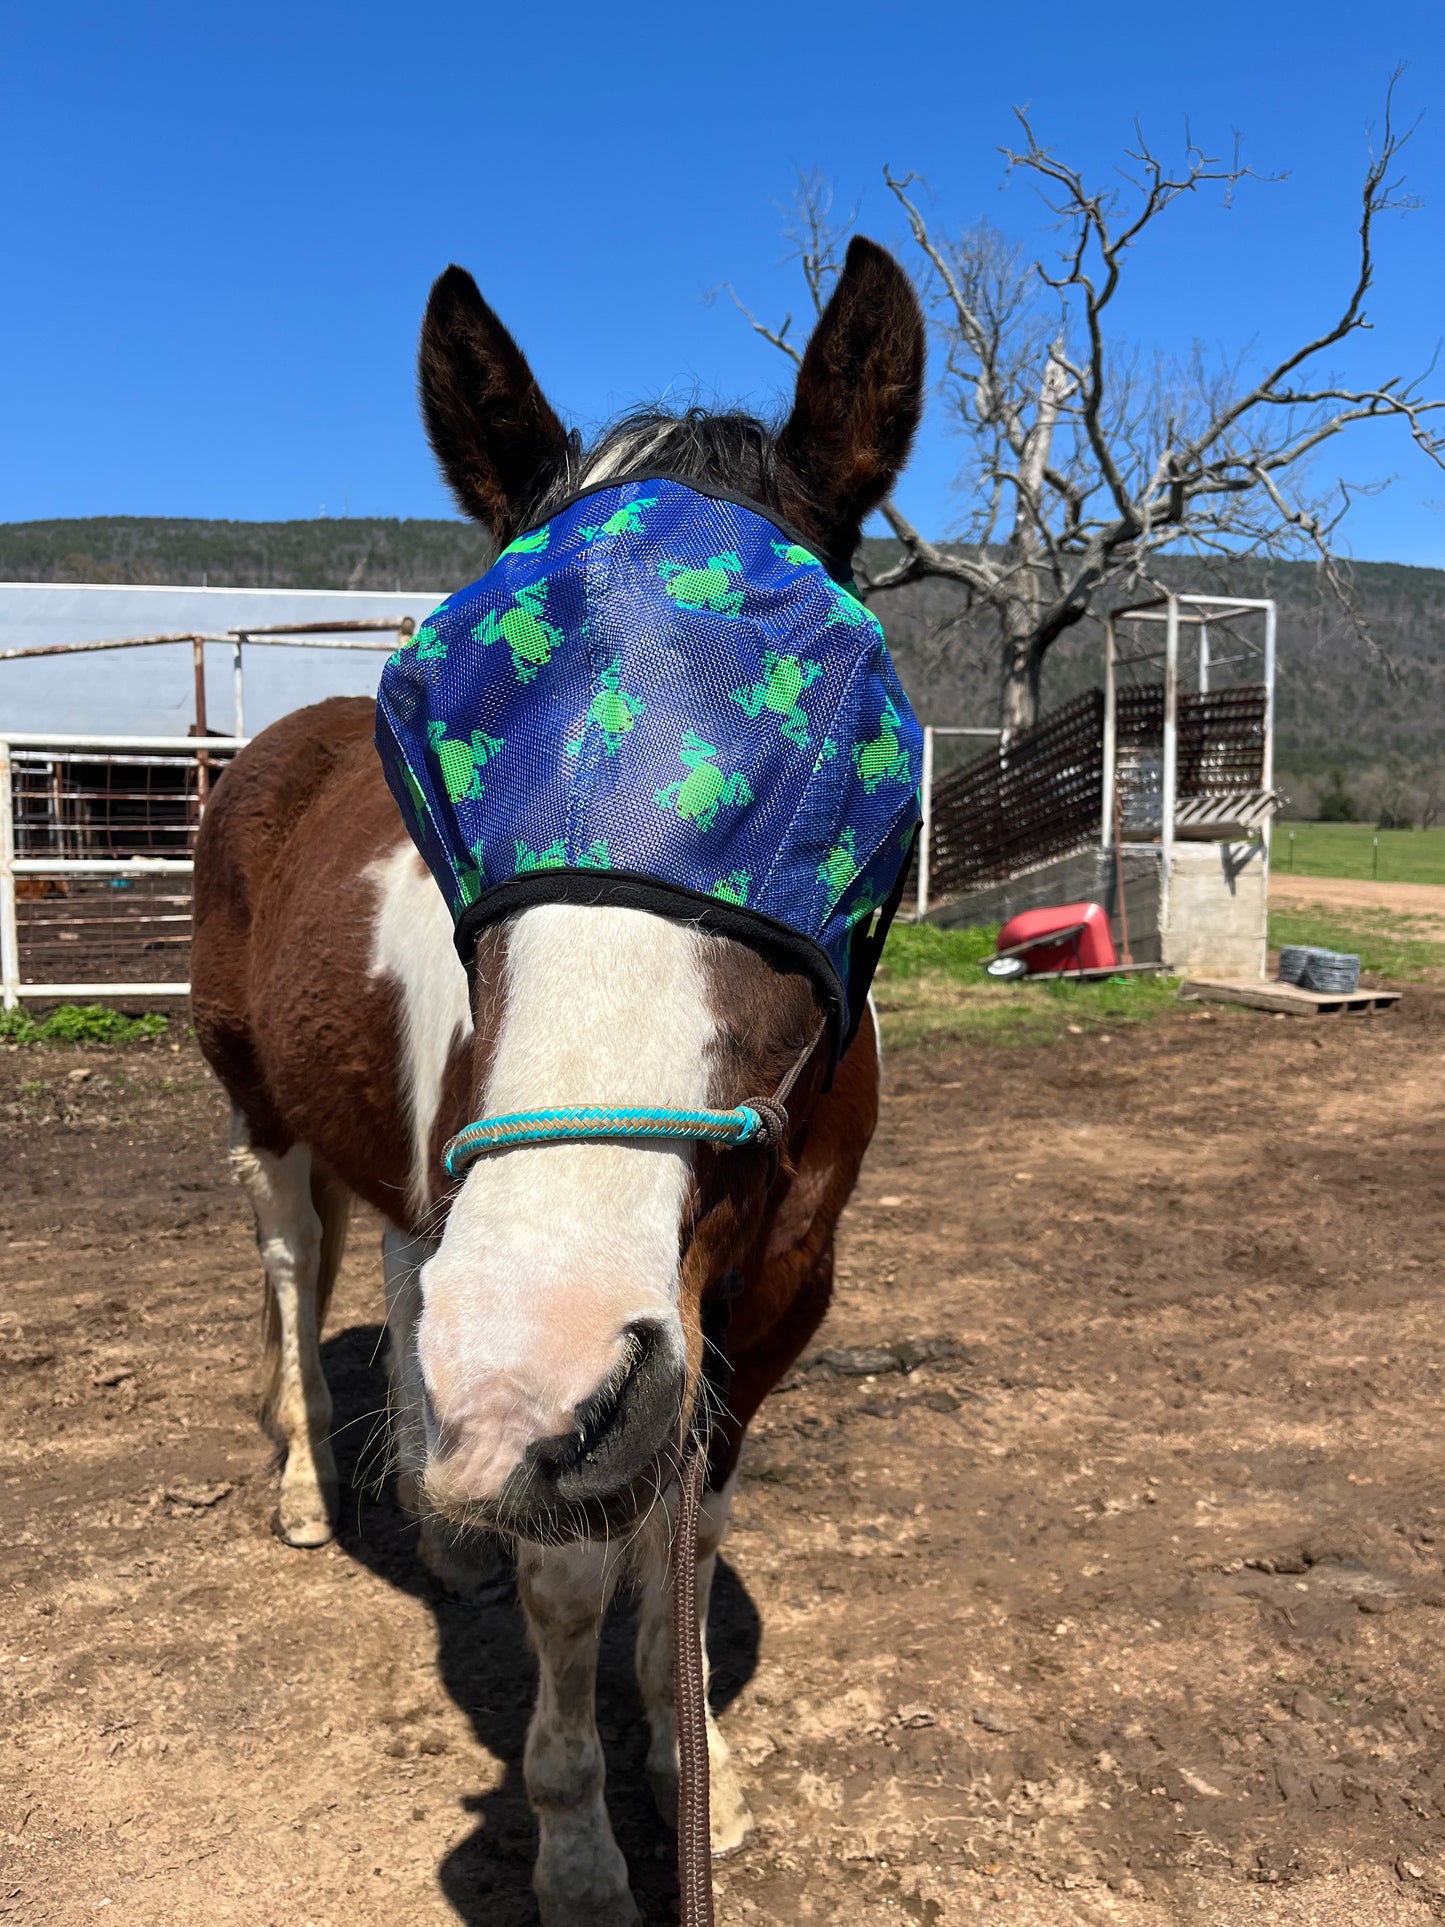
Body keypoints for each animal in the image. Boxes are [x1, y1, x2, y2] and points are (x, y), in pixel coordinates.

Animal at [189, 240, 928, 1927]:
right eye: (438, 726)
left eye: (859, 736)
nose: (534, 1361)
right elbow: (579, 1568)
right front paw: (584, 1847)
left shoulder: (766, 1303)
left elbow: (688, 1524)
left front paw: (690, 1753)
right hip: (268, 1118)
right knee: (295, 1269)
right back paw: (311, 1490)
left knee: (404, 1280)